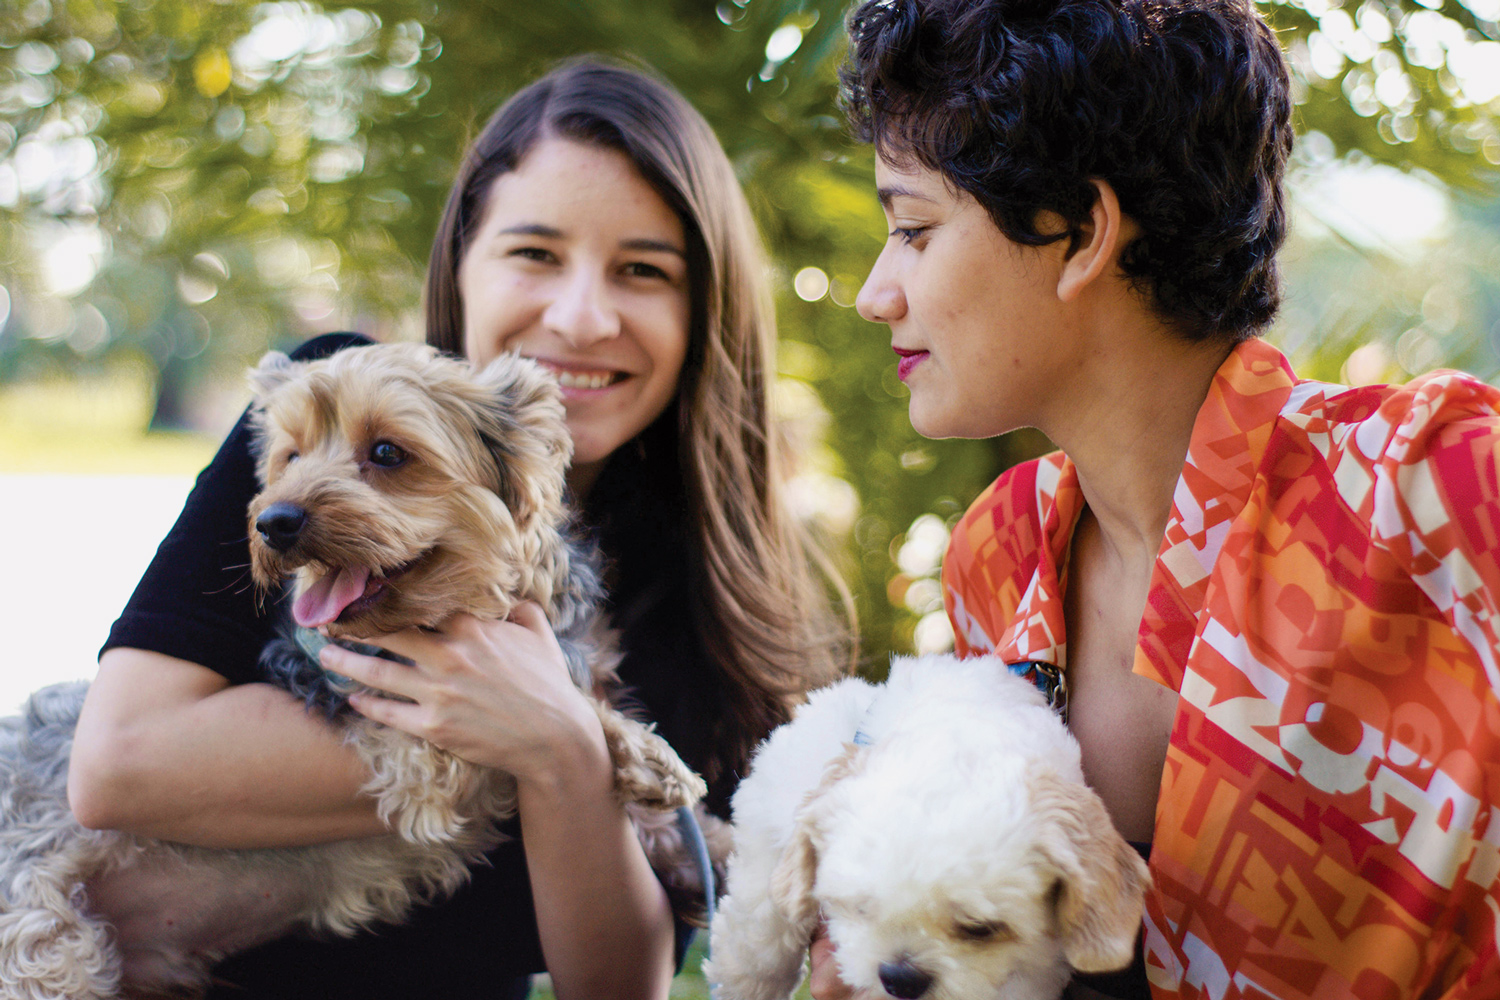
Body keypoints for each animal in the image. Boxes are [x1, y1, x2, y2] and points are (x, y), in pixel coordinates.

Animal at [0, 346, 711, 1000]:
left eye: (389, 453)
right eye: (291, 456)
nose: (272, 522)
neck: (475, 607)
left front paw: (700, 834)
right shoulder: (426, 747)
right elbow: (556, 717)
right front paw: (650, 757)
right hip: (44, 943)